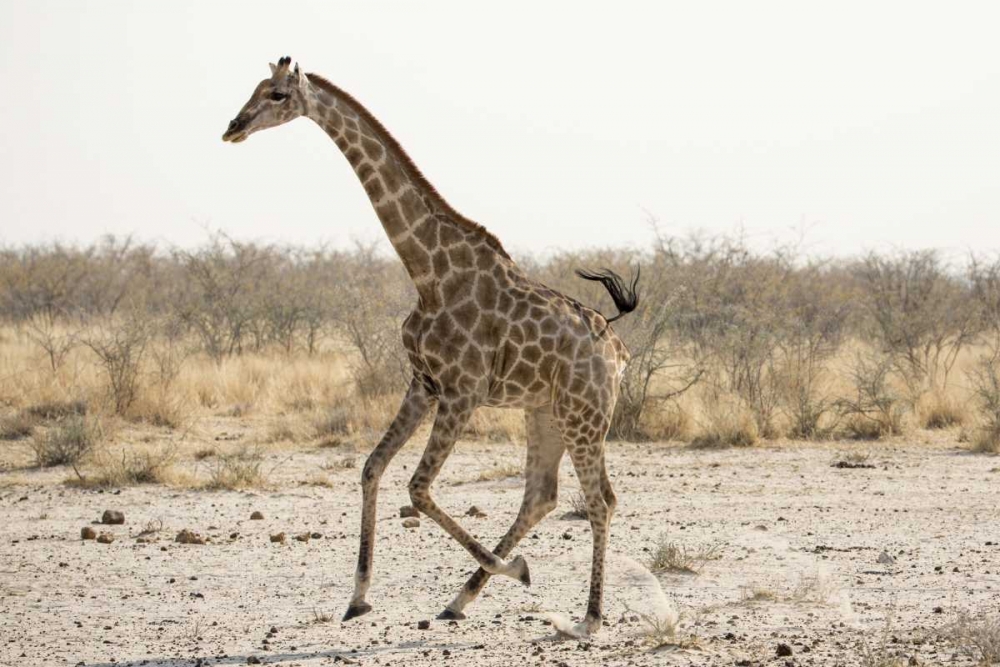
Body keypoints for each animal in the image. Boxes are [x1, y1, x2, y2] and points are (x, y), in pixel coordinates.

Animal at [223, 56, 636, 636]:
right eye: (256, 88)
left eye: (278, 95)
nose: (233, 127)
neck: (428, 272)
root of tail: (618, 354)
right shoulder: (423, 383)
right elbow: (372, 467)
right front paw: (358, 598)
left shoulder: (463, 392)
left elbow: (418, 487)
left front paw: (517, 569)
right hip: (544, 412)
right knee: (541, 496)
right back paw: (460, 601)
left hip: (585, 412)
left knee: (600, 500)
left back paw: (588, 618)